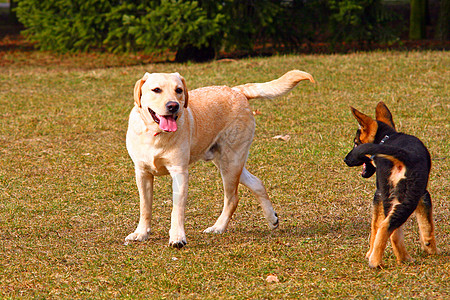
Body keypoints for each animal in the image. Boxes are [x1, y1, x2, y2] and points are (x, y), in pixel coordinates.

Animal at [344, 102, 436, 268]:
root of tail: (402, 154)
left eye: (355, 142)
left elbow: (375, 225)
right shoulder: (422, 194)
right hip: (406, 197)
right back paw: (387, 260)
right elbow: (426, 224)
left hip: (392, 196)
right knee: (388, 226)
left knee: (389, 228)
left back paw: (387, 258)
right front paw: (432, 250)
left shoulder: (381, 194)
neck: (387, 138)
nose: (345, 159)